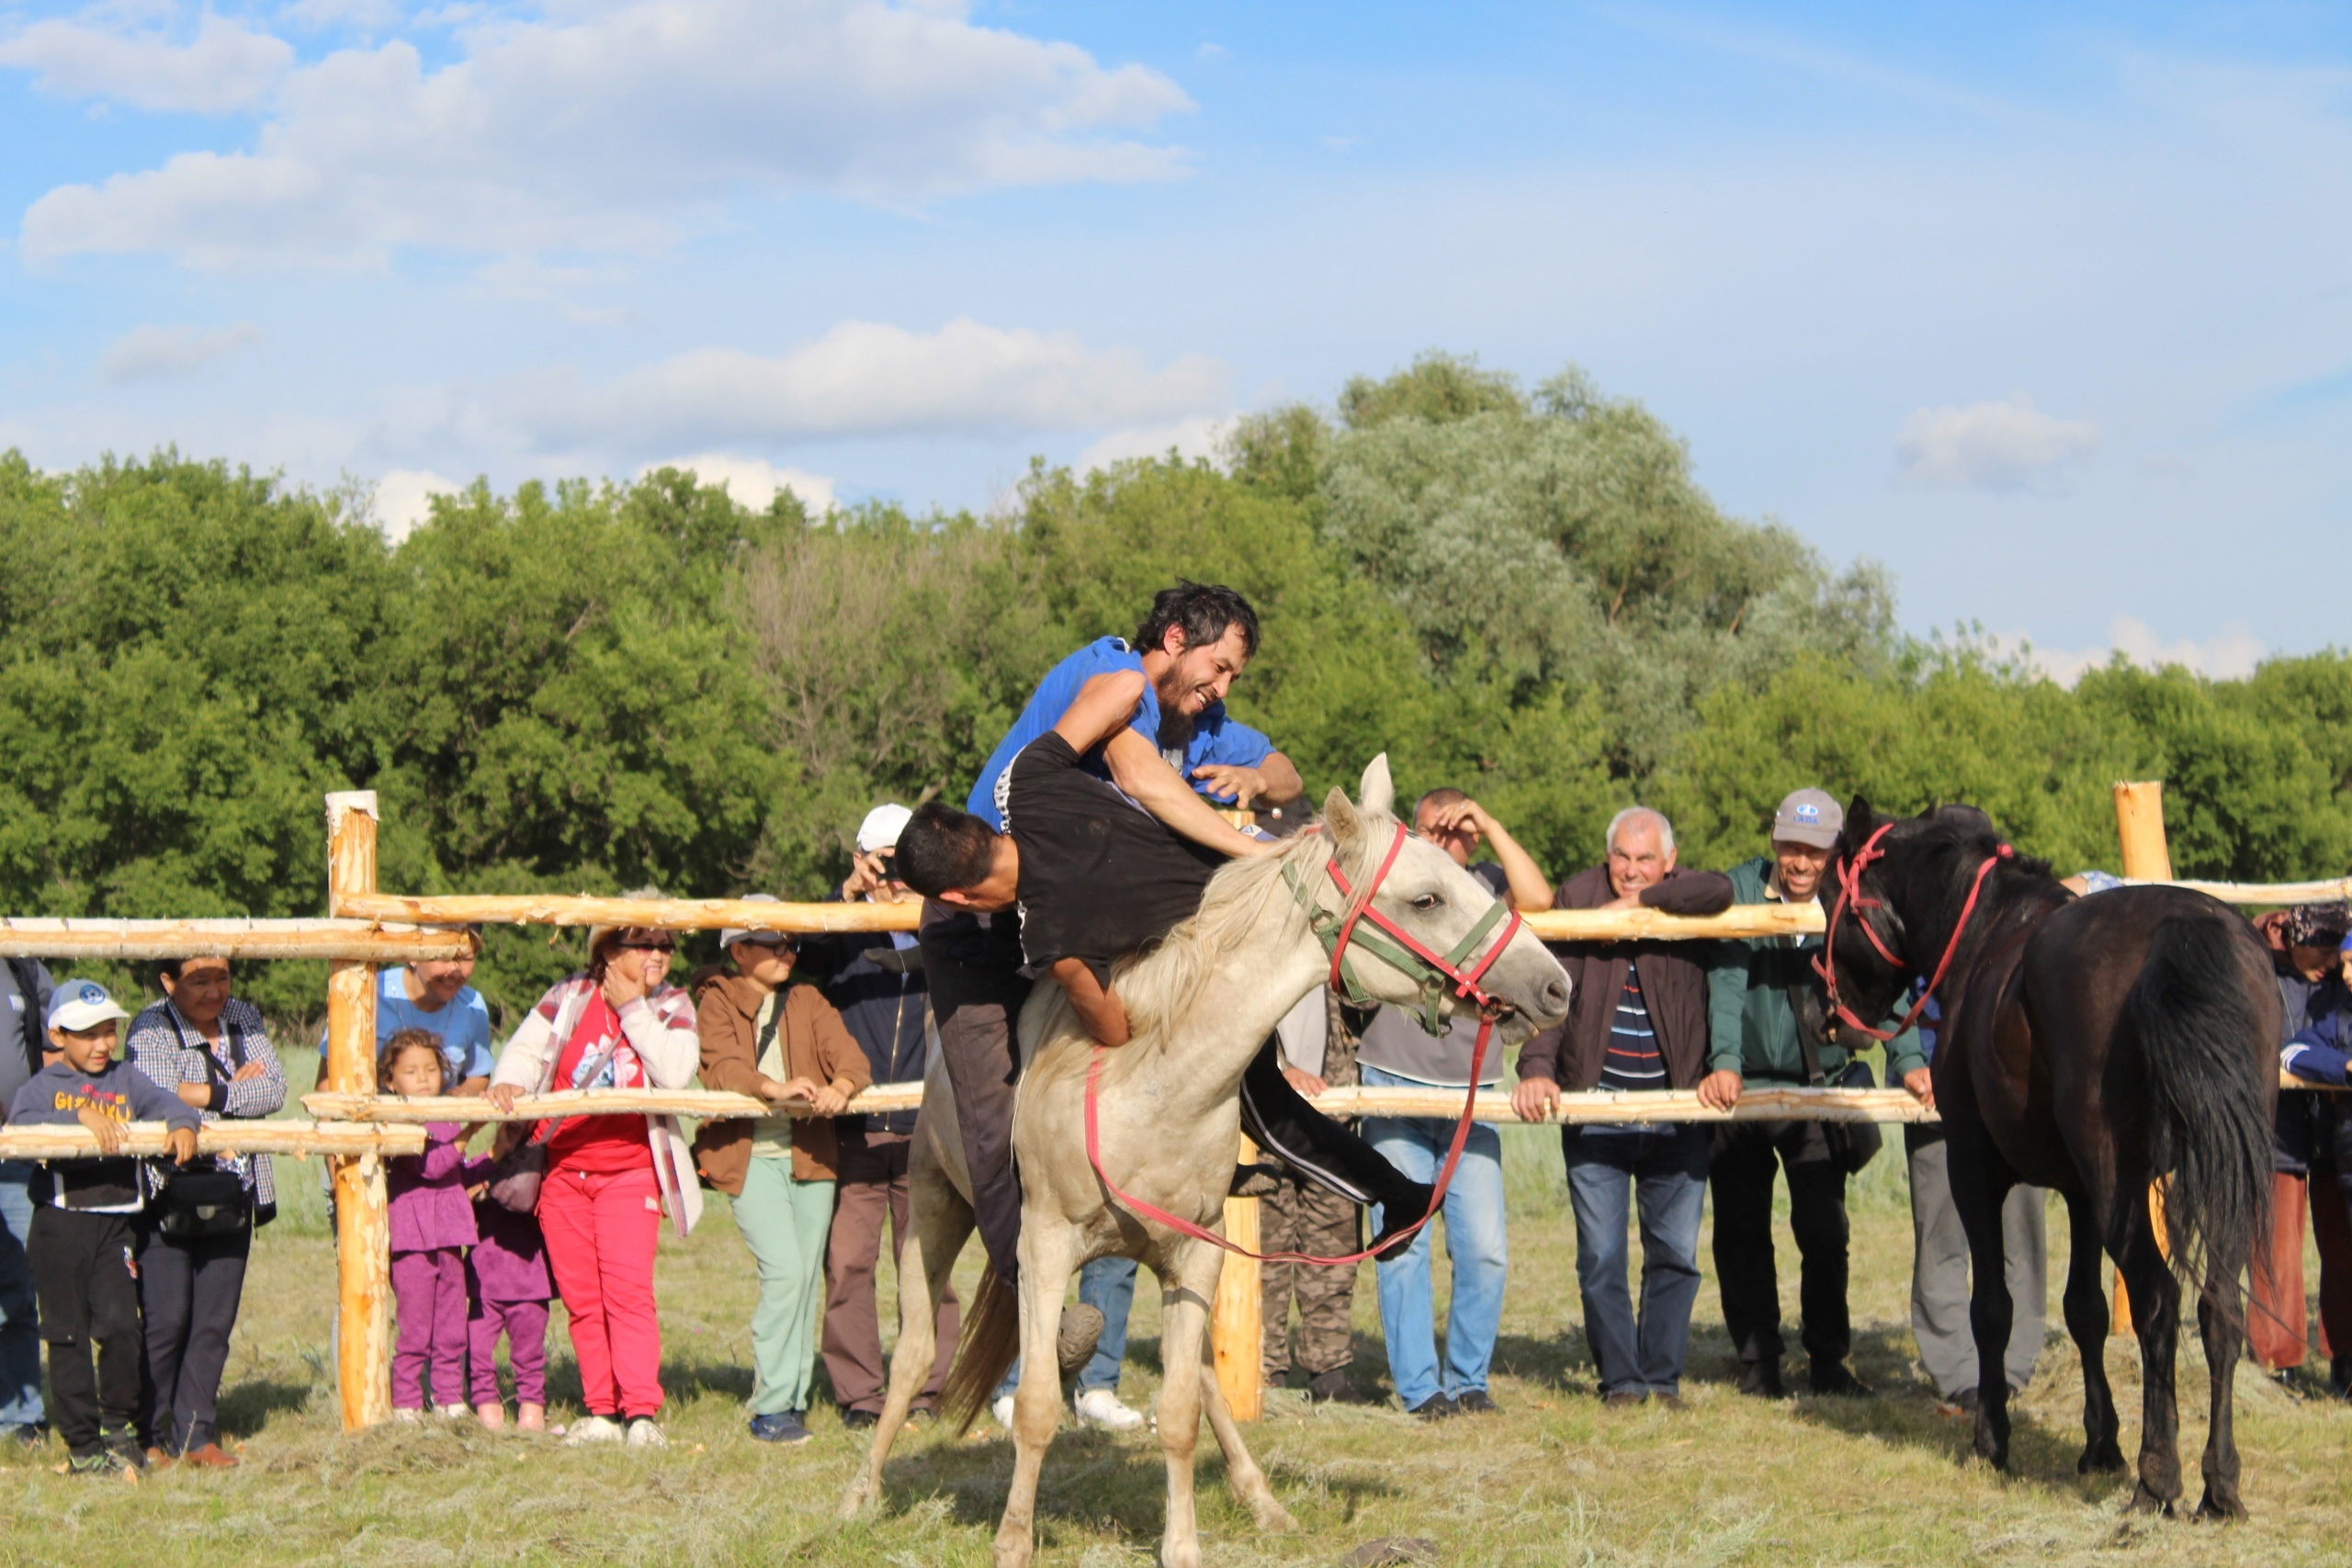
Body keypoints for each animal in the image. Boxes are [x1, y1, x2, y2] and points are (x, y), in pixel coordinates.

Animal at [840, 758, 1573, 1568]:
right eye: (1426, 897)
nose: (1555, 985)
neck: (1153, 1072)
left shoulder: (1197, 1254)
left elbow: (1184, 1406)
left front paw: (1184, 1541)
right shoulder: (1045, 1245)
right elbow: (1033, 1404)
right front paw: (1013, 1539)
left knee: (1198, 1378)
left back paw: (1263, 1499)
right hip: (935, 1208)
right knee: (915, 1354)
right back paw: (862, 1495)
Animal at [1816, 799, 2277, 1517]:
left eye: (1827, 896)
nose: (1824, 1009)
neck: (1989, 936)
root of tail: (2184, 927)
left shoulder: (1975, 1171)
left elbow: (1992, 1307)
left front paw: (1992, 1436)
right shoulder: (2080, 1192)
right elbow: (2085, 1309)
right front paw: (2099, 1442)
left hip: (2122, 1187)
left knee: (2158, 1299)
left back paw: (2158, 1475)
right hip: (2219, 1177)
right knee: (2219, 1307)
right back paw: (2219, 1483)